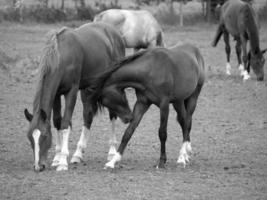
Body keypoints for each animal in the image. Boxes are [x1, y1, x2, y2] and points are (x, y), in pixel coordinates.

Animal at [23, 22, 133, 172]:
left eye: (44, 136)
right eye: (30, 138)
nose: (38, 166)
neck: (62, 56)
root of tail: (114, 32)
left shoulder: (72, 91)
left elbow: (65, 123)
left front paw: (63, 161)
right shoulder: (56, 94)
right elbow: (57, 121)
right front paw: (57, 158)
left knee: (112, 115)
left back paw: (111, 152)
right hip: (87, 90)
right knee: (88, 116)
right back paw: (78, 154)